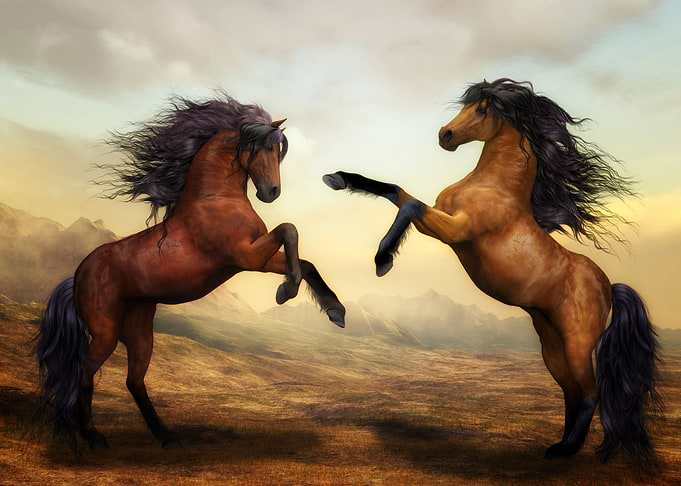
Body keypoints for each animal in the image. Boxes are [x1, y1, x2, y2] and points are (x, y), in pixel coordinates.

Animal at [35, 93, 346, 451]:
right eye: (265, 147)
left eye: (277, 151)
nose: (271, 192)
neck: (216, 199)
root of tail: (77, 276)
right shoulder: (245, 256)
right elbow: (289, 230)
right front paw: (287, 291)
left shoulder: (253, 257)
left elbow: (304, 260)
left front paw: (334, 310)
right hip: (105, 332)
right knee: (84, 374)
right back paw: (93, 436)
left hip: (139, 330)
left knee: (134, 381)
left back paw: (166, 435)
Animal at [323, 79, 660, 464]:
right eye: (467, 105)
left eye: (483, 109)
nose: (445, 135)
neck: (494, 186)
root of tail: (609, 286)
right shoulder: (440, 220)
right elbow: (395, 191)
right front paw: (337, 178)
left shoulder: (456, 231)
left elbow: (409, 205)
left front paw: (383, 259)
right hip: (552, 343)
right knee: (571, 392)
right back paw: (557, 445)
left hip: (577, 342)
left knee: (590, 393)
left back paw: (567, 451)